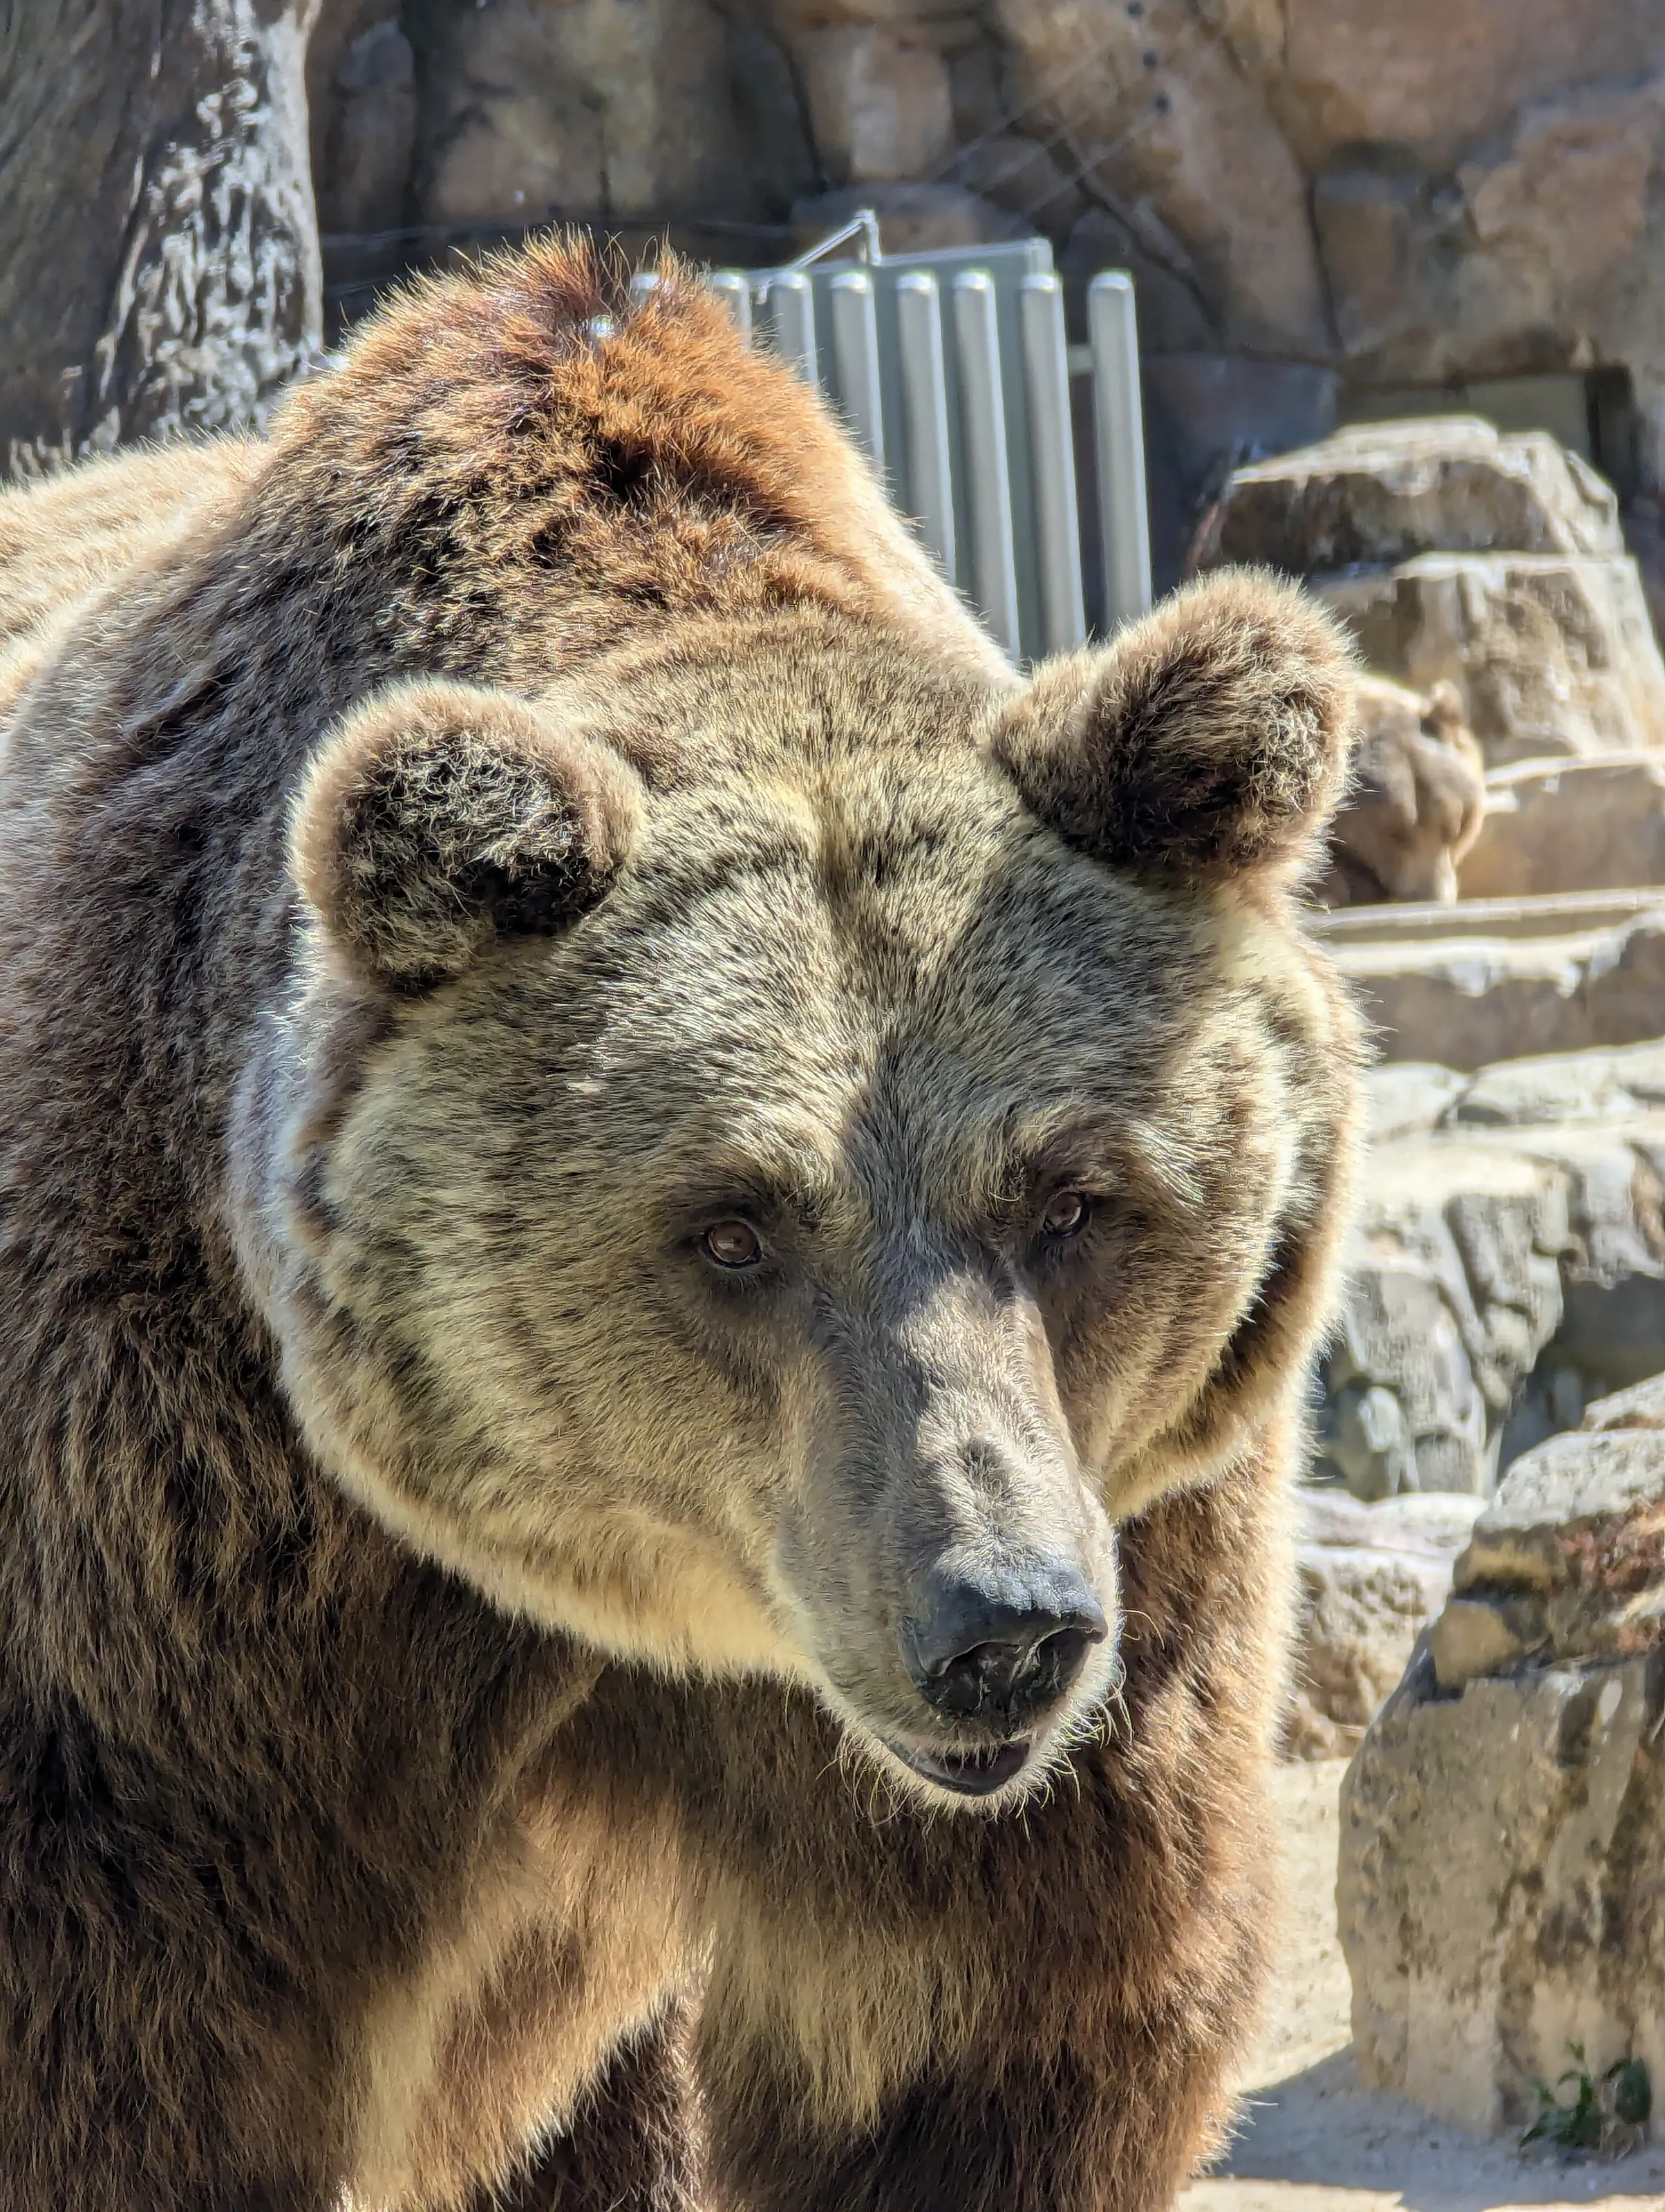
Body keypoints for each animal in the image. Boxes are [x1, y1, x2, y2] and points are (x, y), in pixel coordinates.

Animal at [0, 239, 1364, 2212]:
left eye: (1072, 1196)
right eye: (731, 1228)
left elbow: (1001, 2031)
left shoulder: (1121, 1581)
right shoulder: (172, 1587)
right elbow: (128, 2057)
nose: (1001, 1623)